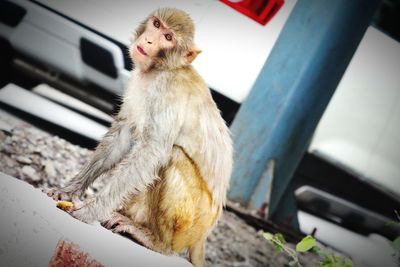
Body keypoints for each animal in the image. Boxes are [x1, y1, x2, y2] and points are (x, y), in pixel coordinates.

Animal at [46, 7, 233, 266]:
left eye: (168, 37)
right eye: (156, 25)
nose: (150, 40)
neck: (160, 69)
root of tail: (202, 238)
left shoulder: (167, 92)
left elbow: (152, 152)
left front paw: (90, 211)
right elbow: (122, 136)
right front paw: (69, 191)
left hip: (190, 226)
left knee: (173, 155)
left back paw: (157, 242)